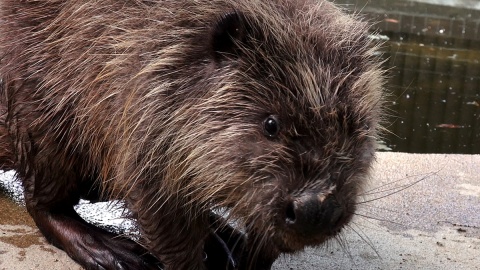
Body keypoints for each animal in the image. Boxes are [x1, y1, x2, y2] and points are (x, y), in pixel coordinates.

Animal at [0, 0, 384, 268]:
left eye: (358, 126)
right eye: (271, 124)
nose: (315, 210)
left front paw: (245, 254)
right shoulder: (142, 113)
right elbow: (165, 220)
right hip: (38, 112)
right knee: (45, 204)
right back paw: (111, 251)